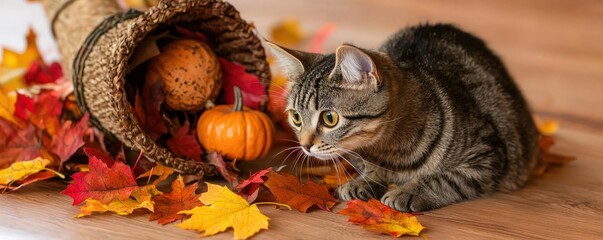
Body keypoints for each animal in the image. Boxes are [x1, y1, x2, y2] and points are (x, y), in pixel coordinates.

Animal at [266, 23, 540, 212]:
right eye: (296, 118)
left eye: (330, 118)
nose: (305, 145)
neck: (388, 150)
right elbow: (369, 168)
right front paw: (363, 181)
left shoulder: (487, 155)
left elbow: (446, 178)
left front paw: (409, 191)